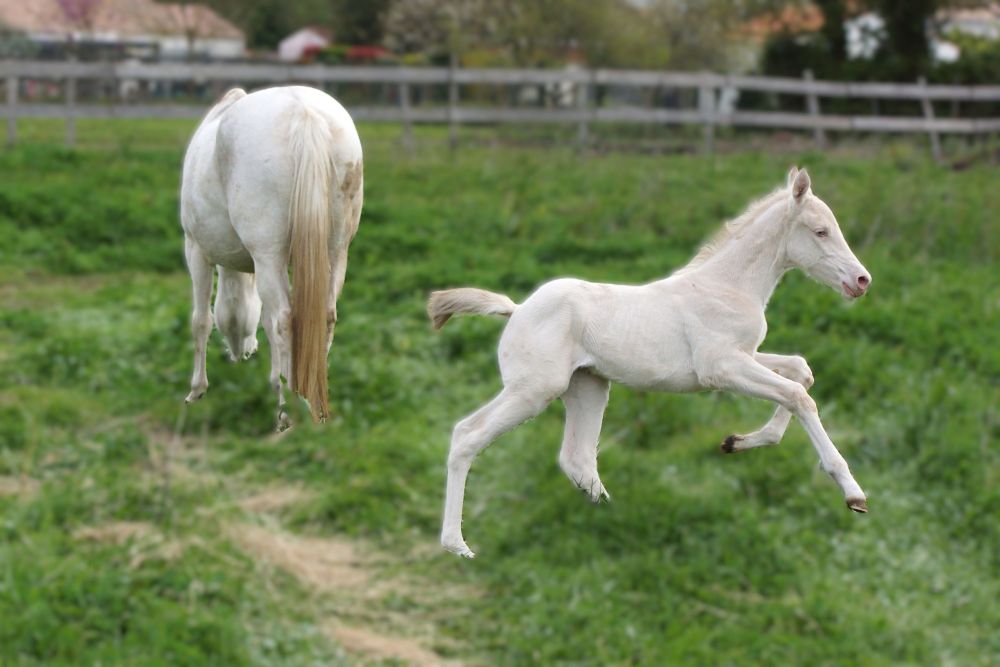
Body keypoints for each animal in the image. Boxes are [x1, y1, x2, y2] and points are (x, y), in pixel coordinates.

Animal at [180, 86, 363, 428]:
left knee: (284, 320)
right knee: (325, 316)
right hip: (336, 251)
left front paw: (196, 390)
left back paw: (289, 402)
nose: (241, 352)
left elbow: (202, 320)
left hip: (267, 254)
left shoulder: (196, 250)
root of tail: (303, 113)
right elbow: (266, 318)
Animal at [428, 168, 872, 558]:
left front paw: (736, 442)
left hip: (589, 387)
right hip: (533, 390)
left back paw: (612, 516)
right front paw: (853, 493)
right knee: (467, 434)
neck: (726, 286)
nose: (862, 281)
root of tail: (517, 309)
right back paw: (457, 545)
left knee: (578, 458)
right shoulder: (720, 367)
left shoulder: (742, 355)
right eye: (821, 231)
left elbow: (800, 370)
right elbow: (798, 394)